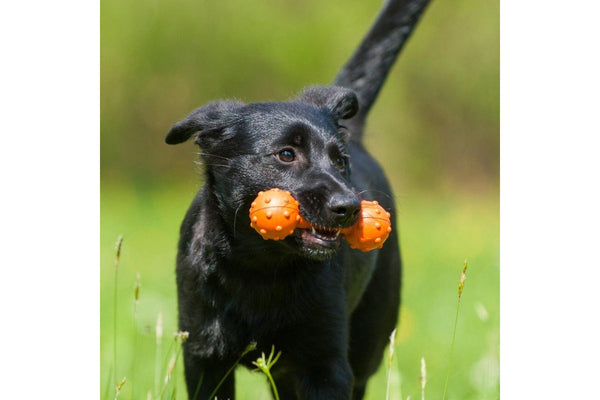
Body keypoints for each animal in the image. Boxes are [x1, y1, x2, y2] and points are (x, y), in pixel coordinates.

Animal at [166, 1, 428, 398]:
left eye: (340, 161)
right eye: (286, 155)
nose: (349, 208)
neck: (261, 268)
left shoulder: (326, 365)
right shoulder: (205, 358)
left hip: (368, 339)